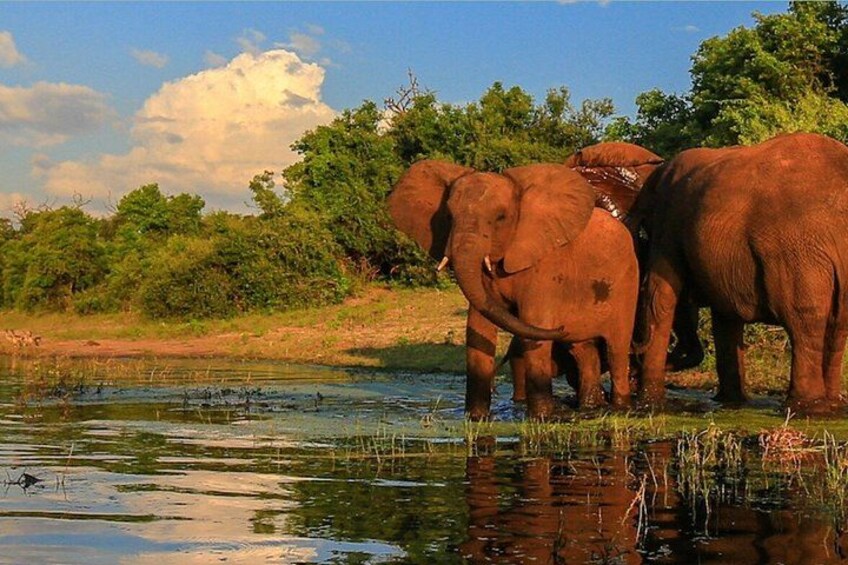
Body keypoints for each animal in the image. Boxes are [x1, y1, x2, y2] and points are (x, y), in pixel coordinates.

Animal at [387, 161, 639, 419]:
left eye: (500, 217)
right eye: (448, 216)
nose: (561, 326)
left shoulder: (544, 266)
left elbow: (533, 322)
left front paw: (542, 418)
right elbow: (478, 326)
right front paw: (476, 419)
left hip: (627, 282)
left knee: (616, 349)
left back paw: (619, 407)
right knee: (583, 350)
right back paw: (590, 407)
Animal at [634, 133, 848, 412]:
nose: (633, 360)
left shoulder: (667, 220)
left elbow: (660, 295)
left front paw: (648, 404)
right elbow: (725, 315)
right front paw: (730, 402)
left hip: (797, 251)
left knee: (804, 318)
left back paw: (805, 407)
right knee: (836, 322)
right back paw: (829, 406)